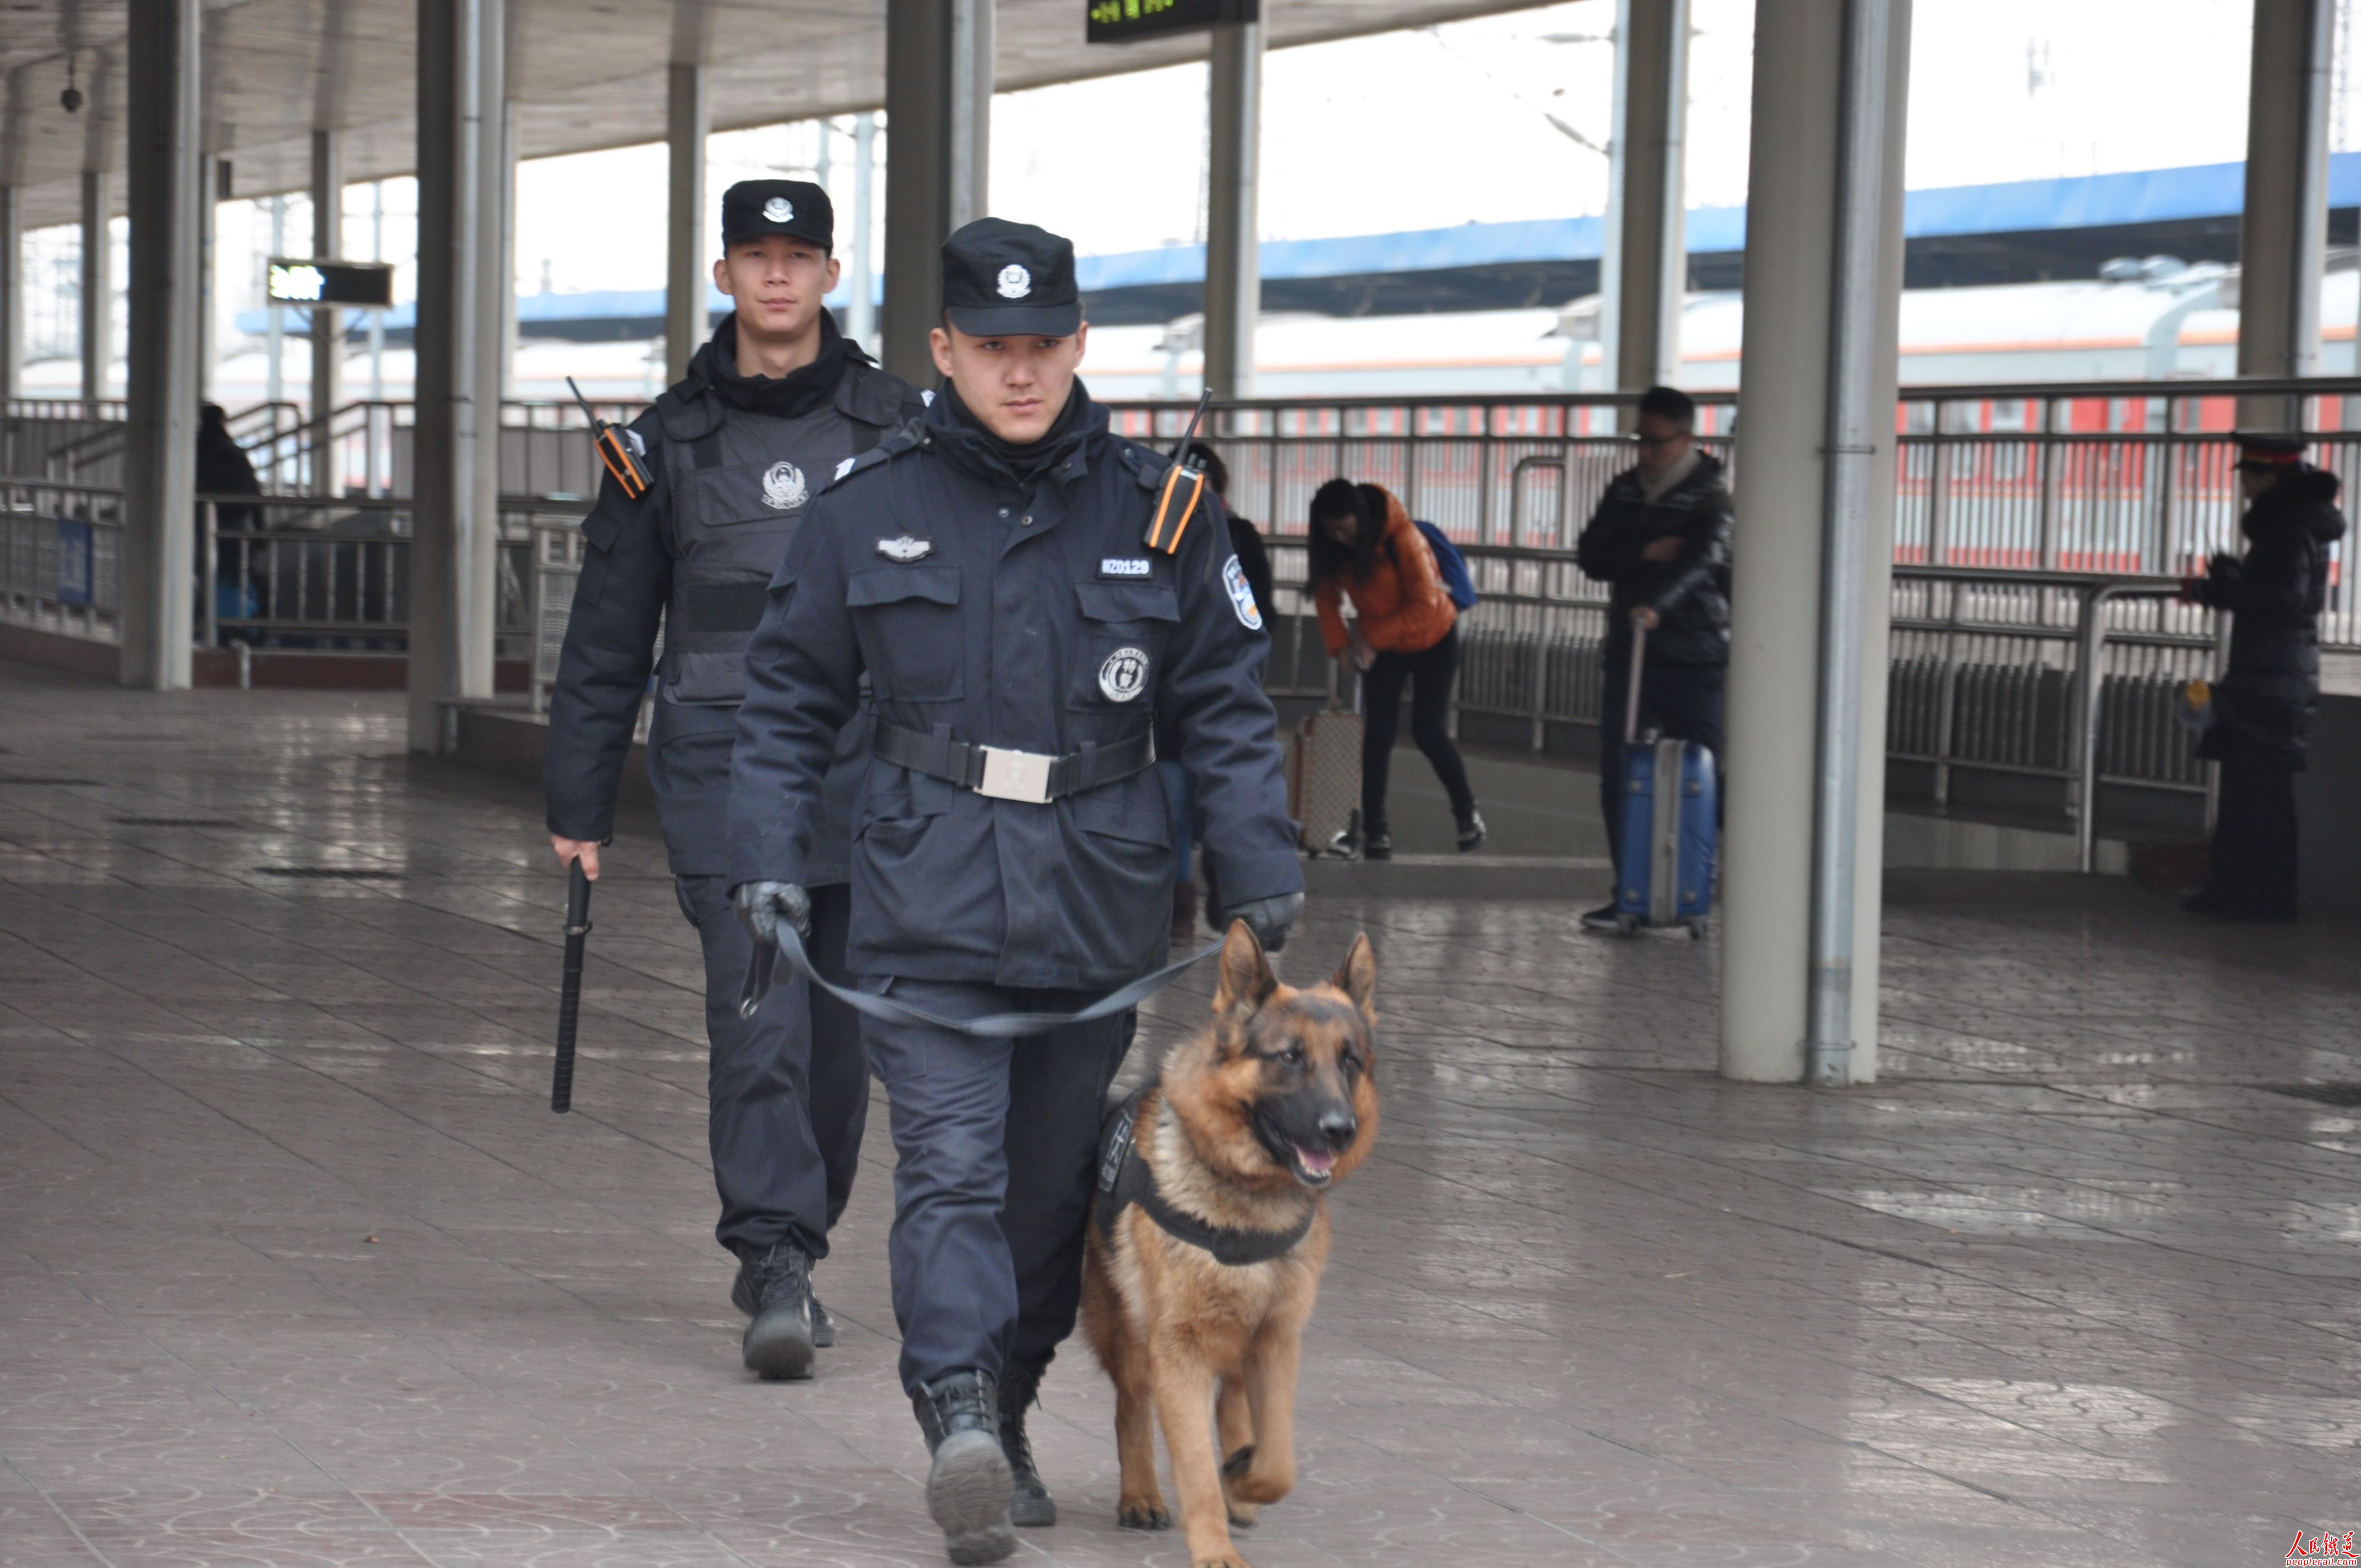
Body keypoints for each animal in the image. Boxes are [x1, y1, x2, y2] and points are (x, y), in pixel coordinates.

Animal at [543, 184, 921, 1379]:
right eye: (757, 245)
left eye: (794, 247)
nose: (777, 274)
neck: (780, 389)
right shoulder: (631, 486)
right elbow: (606, 634)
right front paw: (775, 1263)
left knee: (841, 1067)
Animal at [1081, 921, 1379, 1567]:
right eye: (1289, 1057)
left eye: (1349, 1062)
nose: (1339, 1130)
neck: (1249, 1207)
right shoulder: (1178, 1354)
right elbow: (1194, 1463)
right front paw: (1213, 1547)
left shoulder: (1278, 1342)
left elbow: (1278, 1458)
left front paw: (1245, 1477)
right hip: (1129, 1336)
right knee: (1131, 1405)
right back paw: (1141, 1493)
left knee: (1234, 1401)